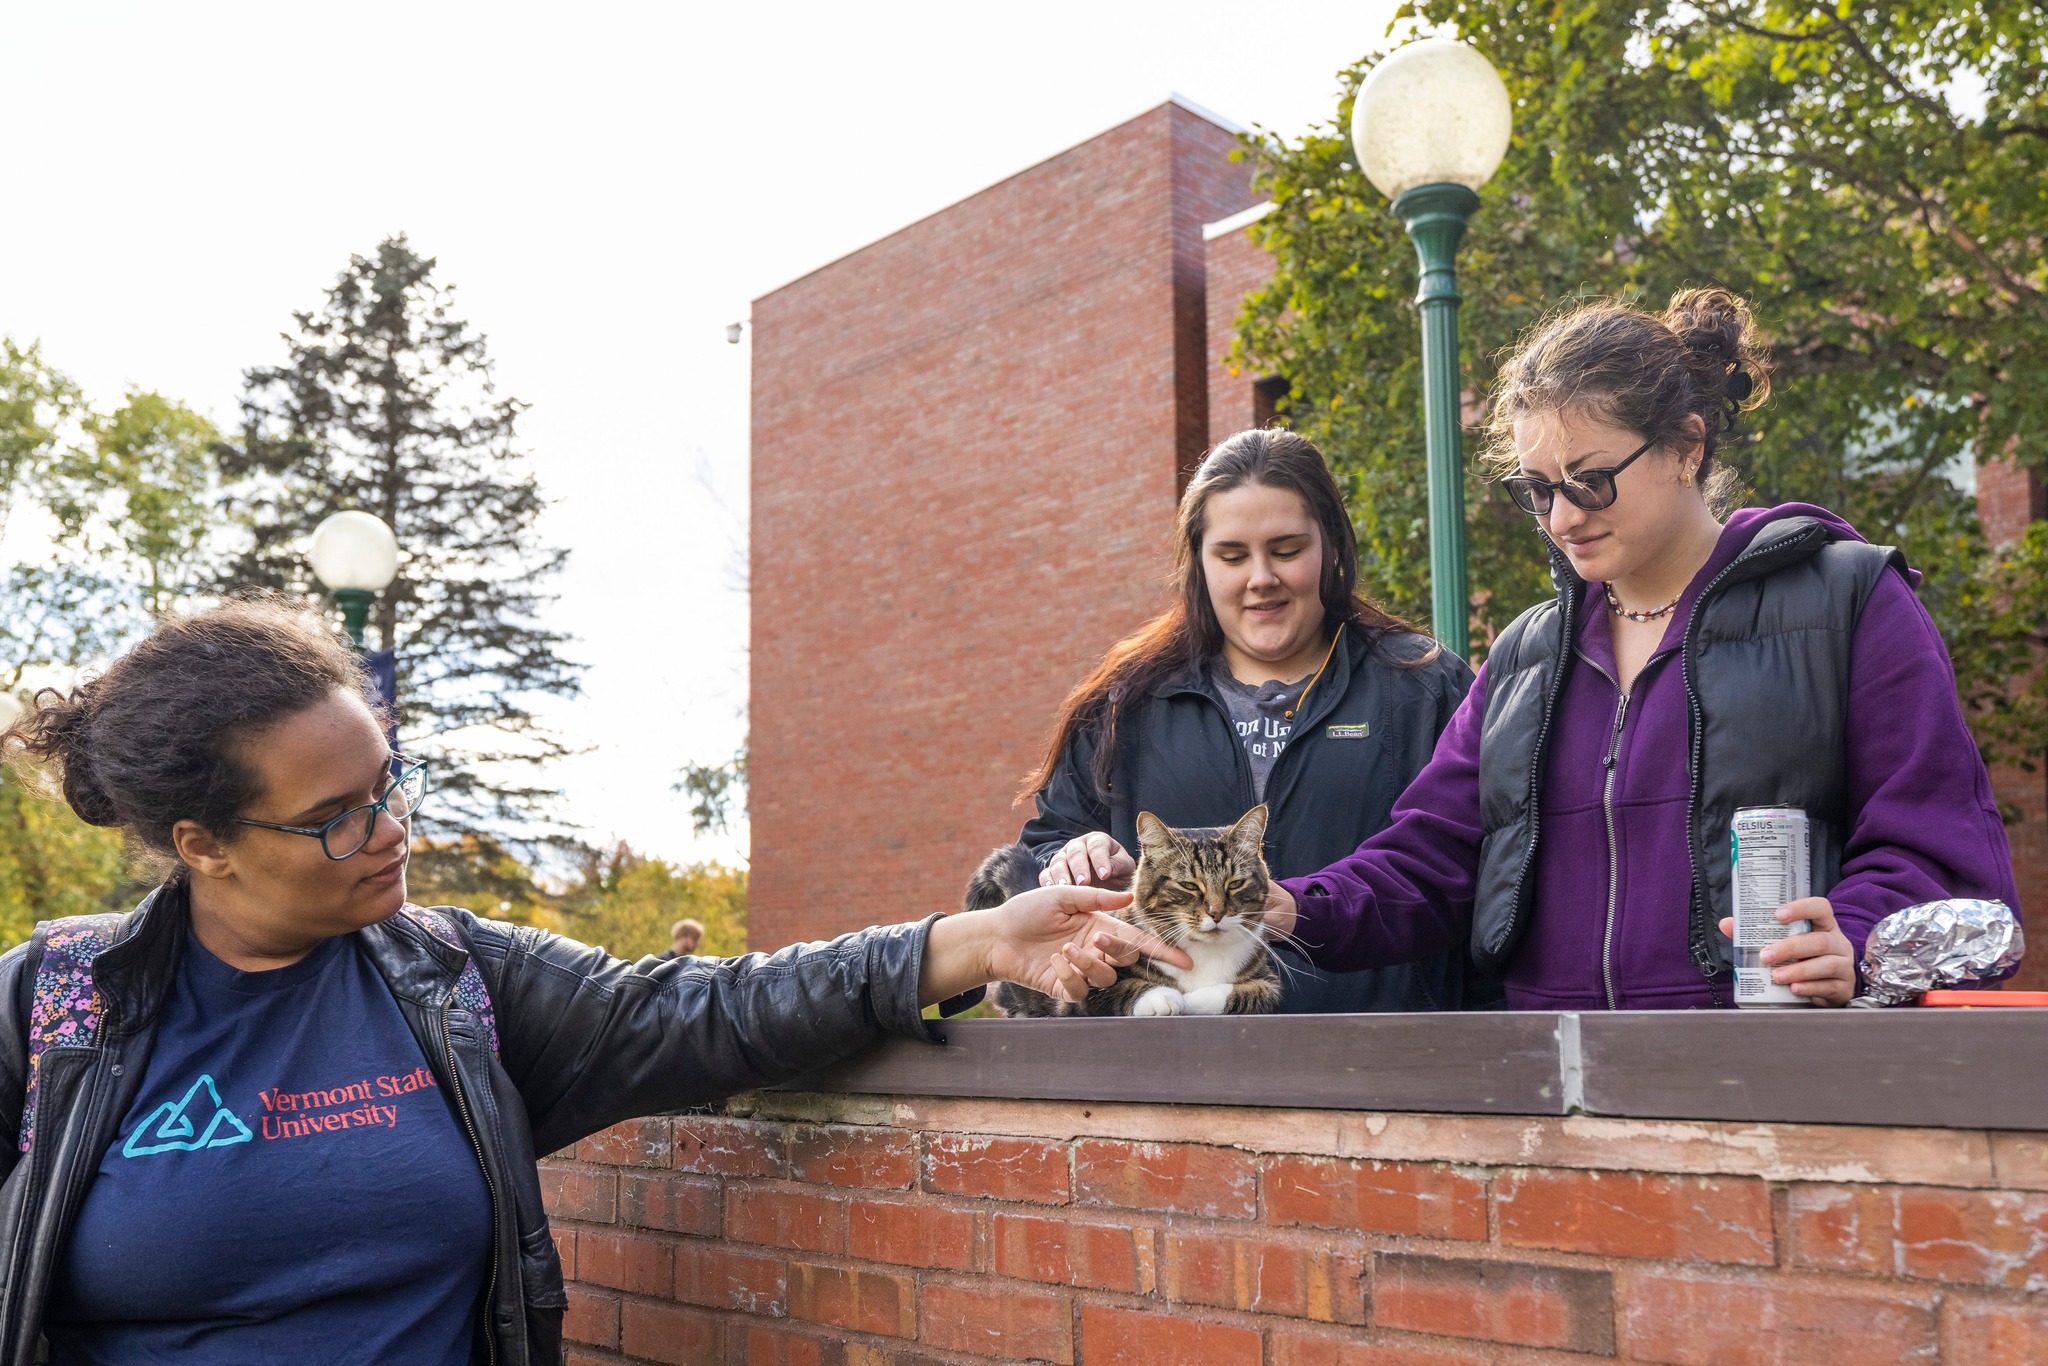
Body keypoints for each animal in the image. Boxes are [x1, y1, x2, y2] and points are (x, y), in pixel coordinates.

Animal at [970, 806, 1277, 1019]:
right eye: (1189, 885)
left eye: (1235, 883)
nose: (1216, 913)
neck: (1203, 952)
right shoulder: (1091, 986)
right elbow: (1124, 987)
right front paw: (1165, 998)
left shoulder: (1269, 983)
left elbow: (1248, 992)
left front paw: (1191, 1000)